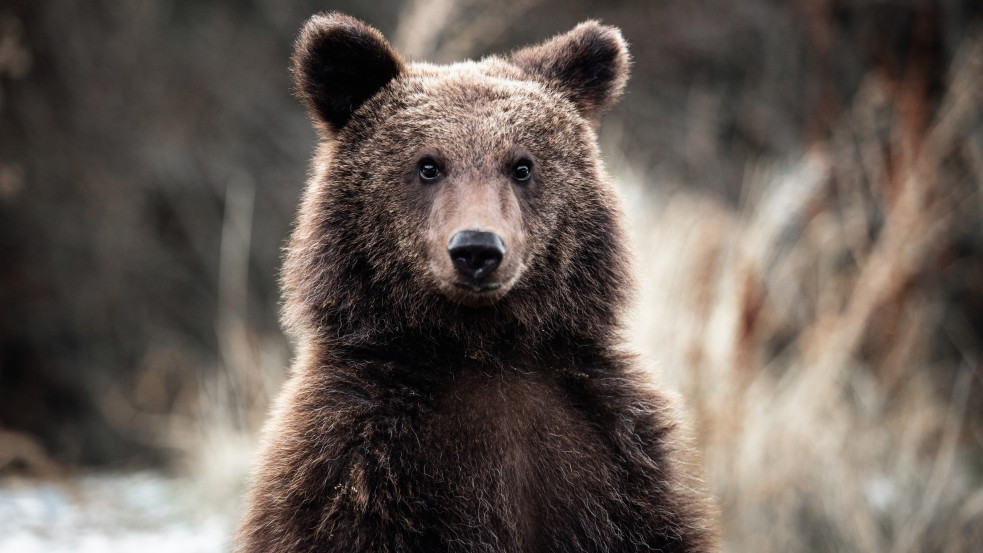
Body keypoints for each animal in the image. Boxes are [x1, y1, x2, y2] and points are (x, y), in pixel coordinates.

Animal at [235, 12, 720, 552]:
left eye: (522, 165)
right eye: (428, 164)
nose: (476, 249)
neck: (482, 349)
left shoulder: (616, 457)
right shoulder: (352, 467)